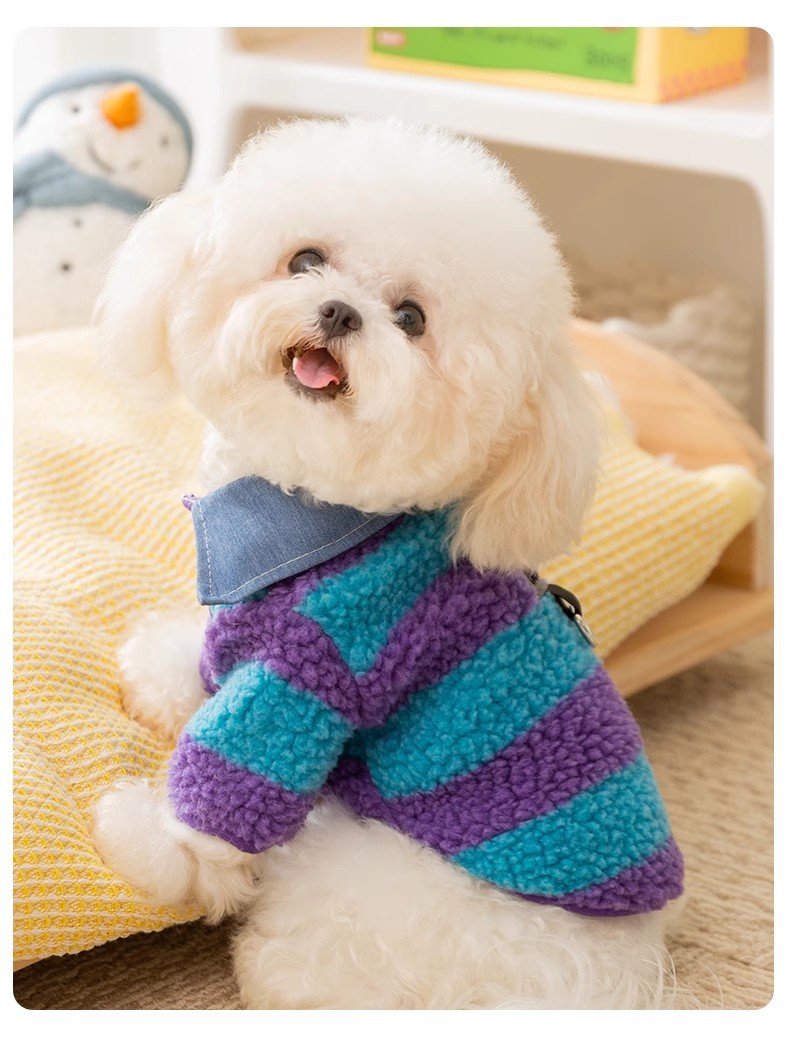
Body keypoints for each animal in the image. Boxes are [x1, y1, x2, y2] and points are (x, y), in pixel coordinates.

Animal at [92, 117, 682, 1009]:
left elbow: (223, 797)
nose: (340, 311)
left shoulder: (309, 678)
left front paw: (146, 841)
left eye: (411, 317)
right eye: (305, 259)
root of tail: (607, 979)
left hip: (375, 874)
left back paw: (276, 968)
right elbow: (201, 661)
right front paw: (162, 665)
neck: (314, 517)